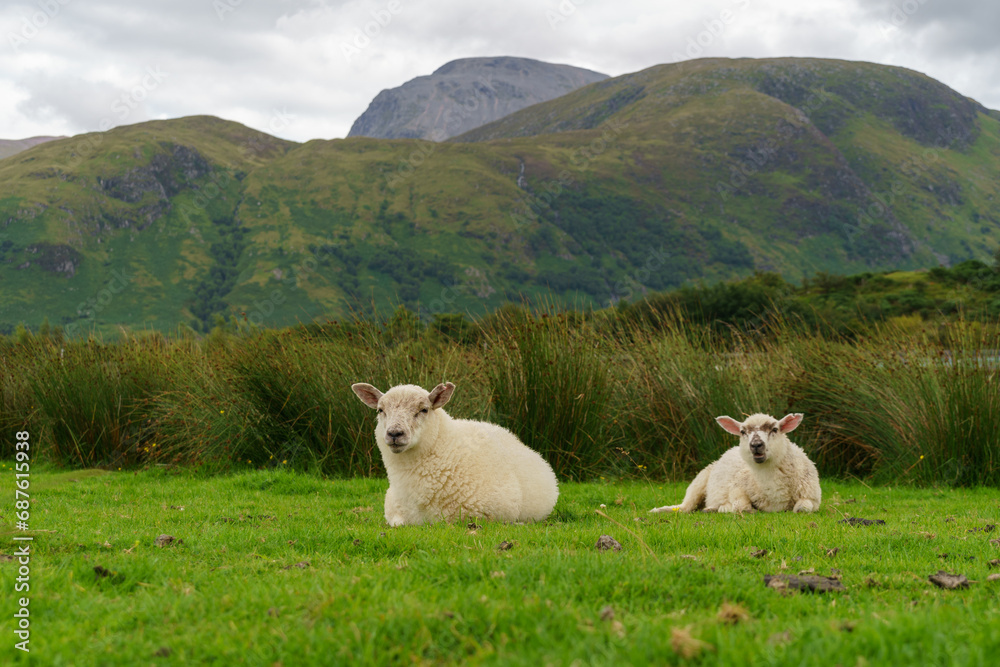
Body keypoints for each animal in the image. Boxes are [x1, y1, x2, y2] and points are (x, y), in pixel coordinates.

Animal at [650, 413, 821, 514]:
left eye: (775, 429)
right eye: (743, 432)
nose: (756, 445)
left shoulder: (812, 497)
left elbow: (803, 508)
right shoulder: (736, 488)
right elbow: (742, 507)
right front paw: (726, 508)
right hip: (698, 483)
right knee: (684, 508)